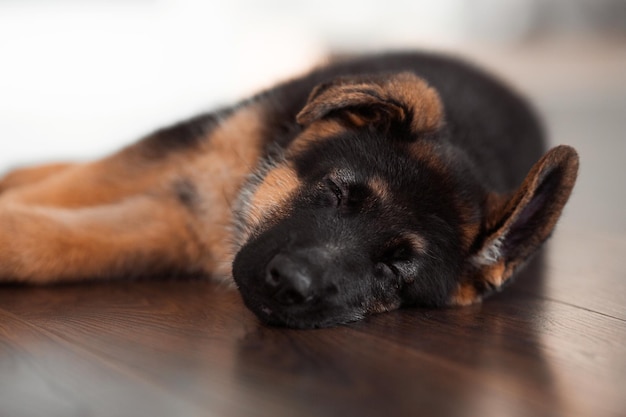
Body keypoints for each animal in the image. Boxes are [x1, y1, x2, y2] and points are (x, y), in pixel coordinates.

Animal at [0, 52, 576, 326]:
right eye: (337, 194)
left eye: (393, 270)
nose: (290, 287)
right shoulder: (188, 164)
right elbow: (75, 185)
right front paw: (16, 192)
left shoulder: (178, 225)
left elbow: (48, 241)